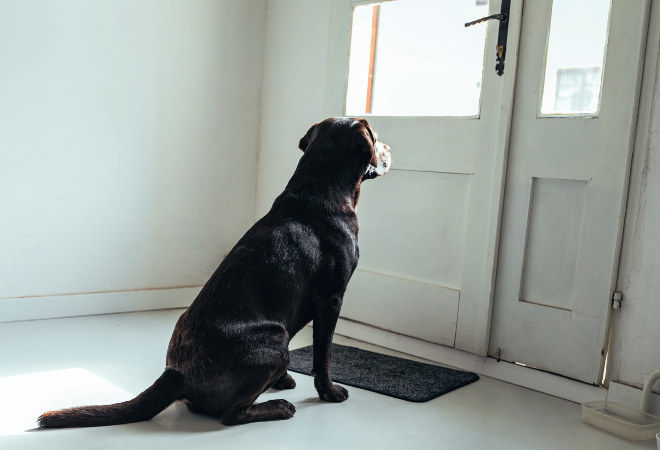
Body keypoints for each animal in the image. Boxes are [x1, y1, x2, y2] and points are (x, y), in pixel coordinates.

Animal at [40, 118, 392, 428]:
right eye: (376, 137)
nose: (389, 147)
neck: (318, 189)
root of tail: (176, 374)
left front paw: (285, 381)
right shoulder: (330, 300)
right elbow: (323, 356)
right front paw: (330, 392)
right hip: (275, 339)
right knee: (231, 414)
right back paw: (277, 407)